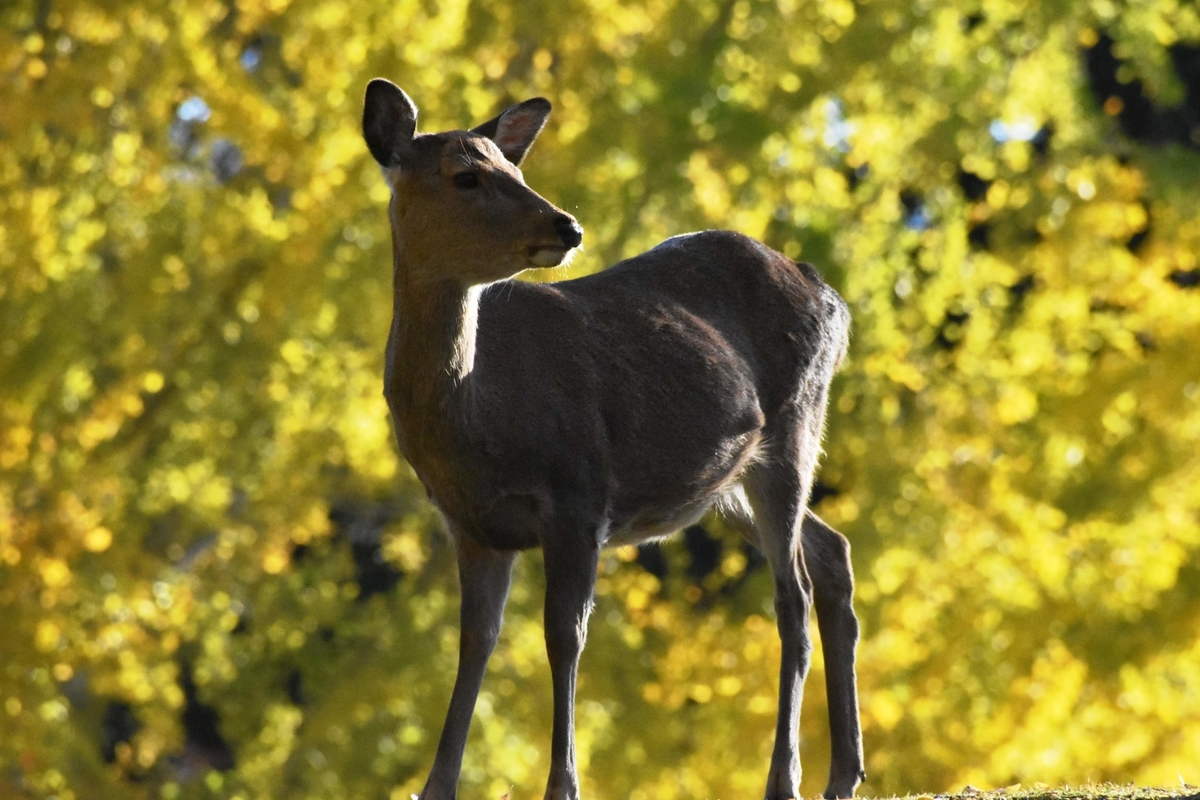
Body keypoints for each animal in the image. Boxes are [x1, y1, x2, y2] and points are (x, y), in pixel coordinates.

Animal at [360, 79, 868, 800]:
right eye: (465, 176)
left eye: (516, 170)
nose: (565, 226)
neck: (479, 419)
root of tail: (830, 293)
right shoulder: (473, 525)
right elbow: (474, 642)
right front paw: (436, 787)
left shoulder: (578, 493)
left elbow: (563, 634)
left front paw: (562, 784)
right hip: (727, 481)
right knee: (832, 552)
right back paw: (844, 772)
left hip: (796, 421)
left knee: (791, 592)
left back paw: (784, 779)